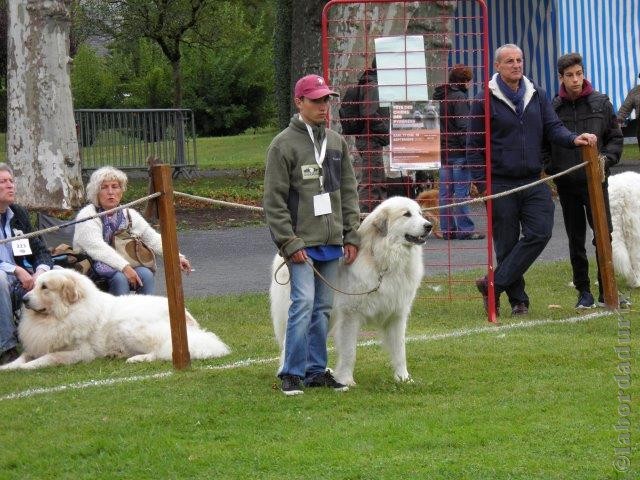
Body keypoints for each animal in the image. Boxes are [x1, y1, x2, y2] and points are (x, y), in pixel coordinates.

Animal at [0, 268, 230, 370]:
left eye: (45, 287)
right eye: (34, 285)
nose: (24, 299)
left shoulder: (79, 352)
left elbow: (47, 358)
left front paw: (24, 367)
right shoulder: (38, 343)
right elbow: (23, 357)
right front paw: (8, 367)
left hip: (130, 328)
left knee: (161, 350)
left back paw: (136, 359)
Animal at [268, 196, 432, 386]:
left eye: (420, 213)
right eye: (407, 214)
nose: (429, 226)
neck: (383, 259)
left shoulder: (396, 315)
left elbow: (400, 351)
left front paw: (404, 378)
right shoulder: (350, 315)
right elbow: (349, 351)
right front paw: (346, 379)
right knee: (289, 340)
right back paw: (288, 374)